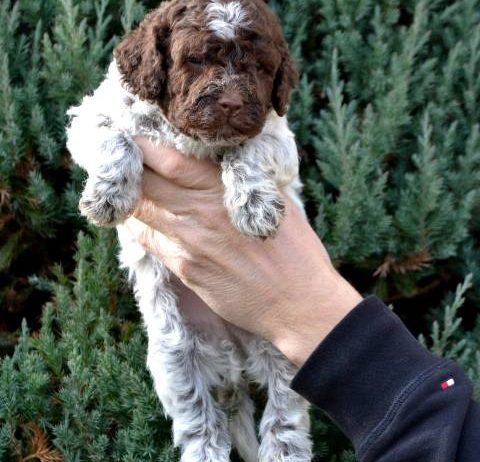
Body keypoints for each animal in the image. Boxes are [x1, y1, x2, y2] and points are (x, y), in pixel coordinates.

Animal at [67, 0, 314, 462]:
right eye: (196, 59)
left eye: (260, 67)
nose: (232, 102)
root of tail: (233, 363)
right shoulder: (92, 115)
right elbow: (115, 138)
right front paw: (108, 195)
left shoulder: (277, 133)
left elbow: (249, 146)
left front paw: (255, 207)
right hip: (174, 363)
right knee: (202, 429)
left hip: (287, 350)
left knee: (284, 418)